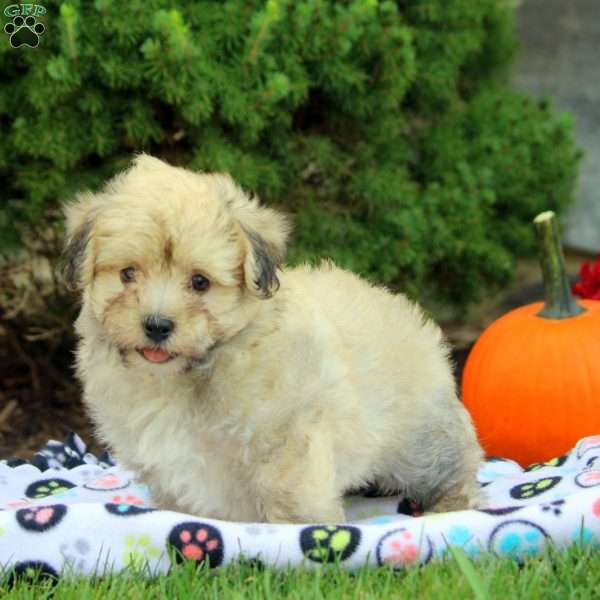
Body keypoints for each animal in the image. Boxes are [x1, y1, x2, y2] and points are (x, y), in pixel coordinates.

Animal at [62, 156, 482, 524]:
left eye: (199, 282)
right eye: (127, 274)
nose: (157, 325)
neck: (188, 374)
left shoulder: (289, 438)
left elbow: (290, 493)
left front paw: (308, 535)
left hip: (421, 439)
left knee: (453, 465)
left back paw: (450, 505)